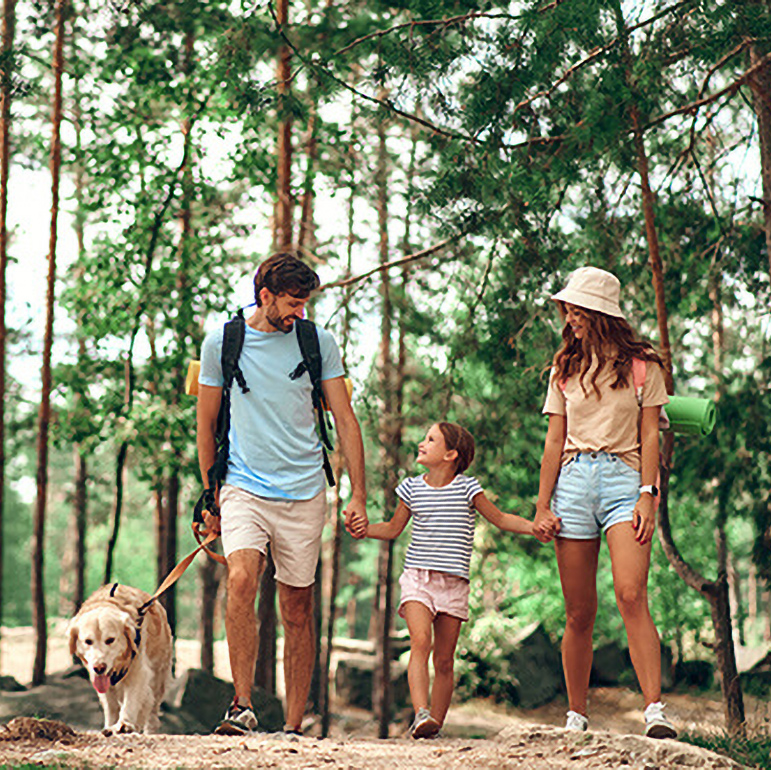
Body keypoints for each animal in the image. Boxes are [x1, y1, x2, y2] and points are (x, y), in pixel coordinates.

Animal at [68, 584, 173, 732]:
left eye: (110, 640)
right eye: (88, 641)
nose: (99, 667)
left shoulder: (138, 671)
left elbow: (131, 700)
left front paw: (124, 724)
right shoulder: (98, 678)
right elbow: (111, 705)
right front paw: (110, 725)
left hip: (158, 676)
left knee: (152, 710)